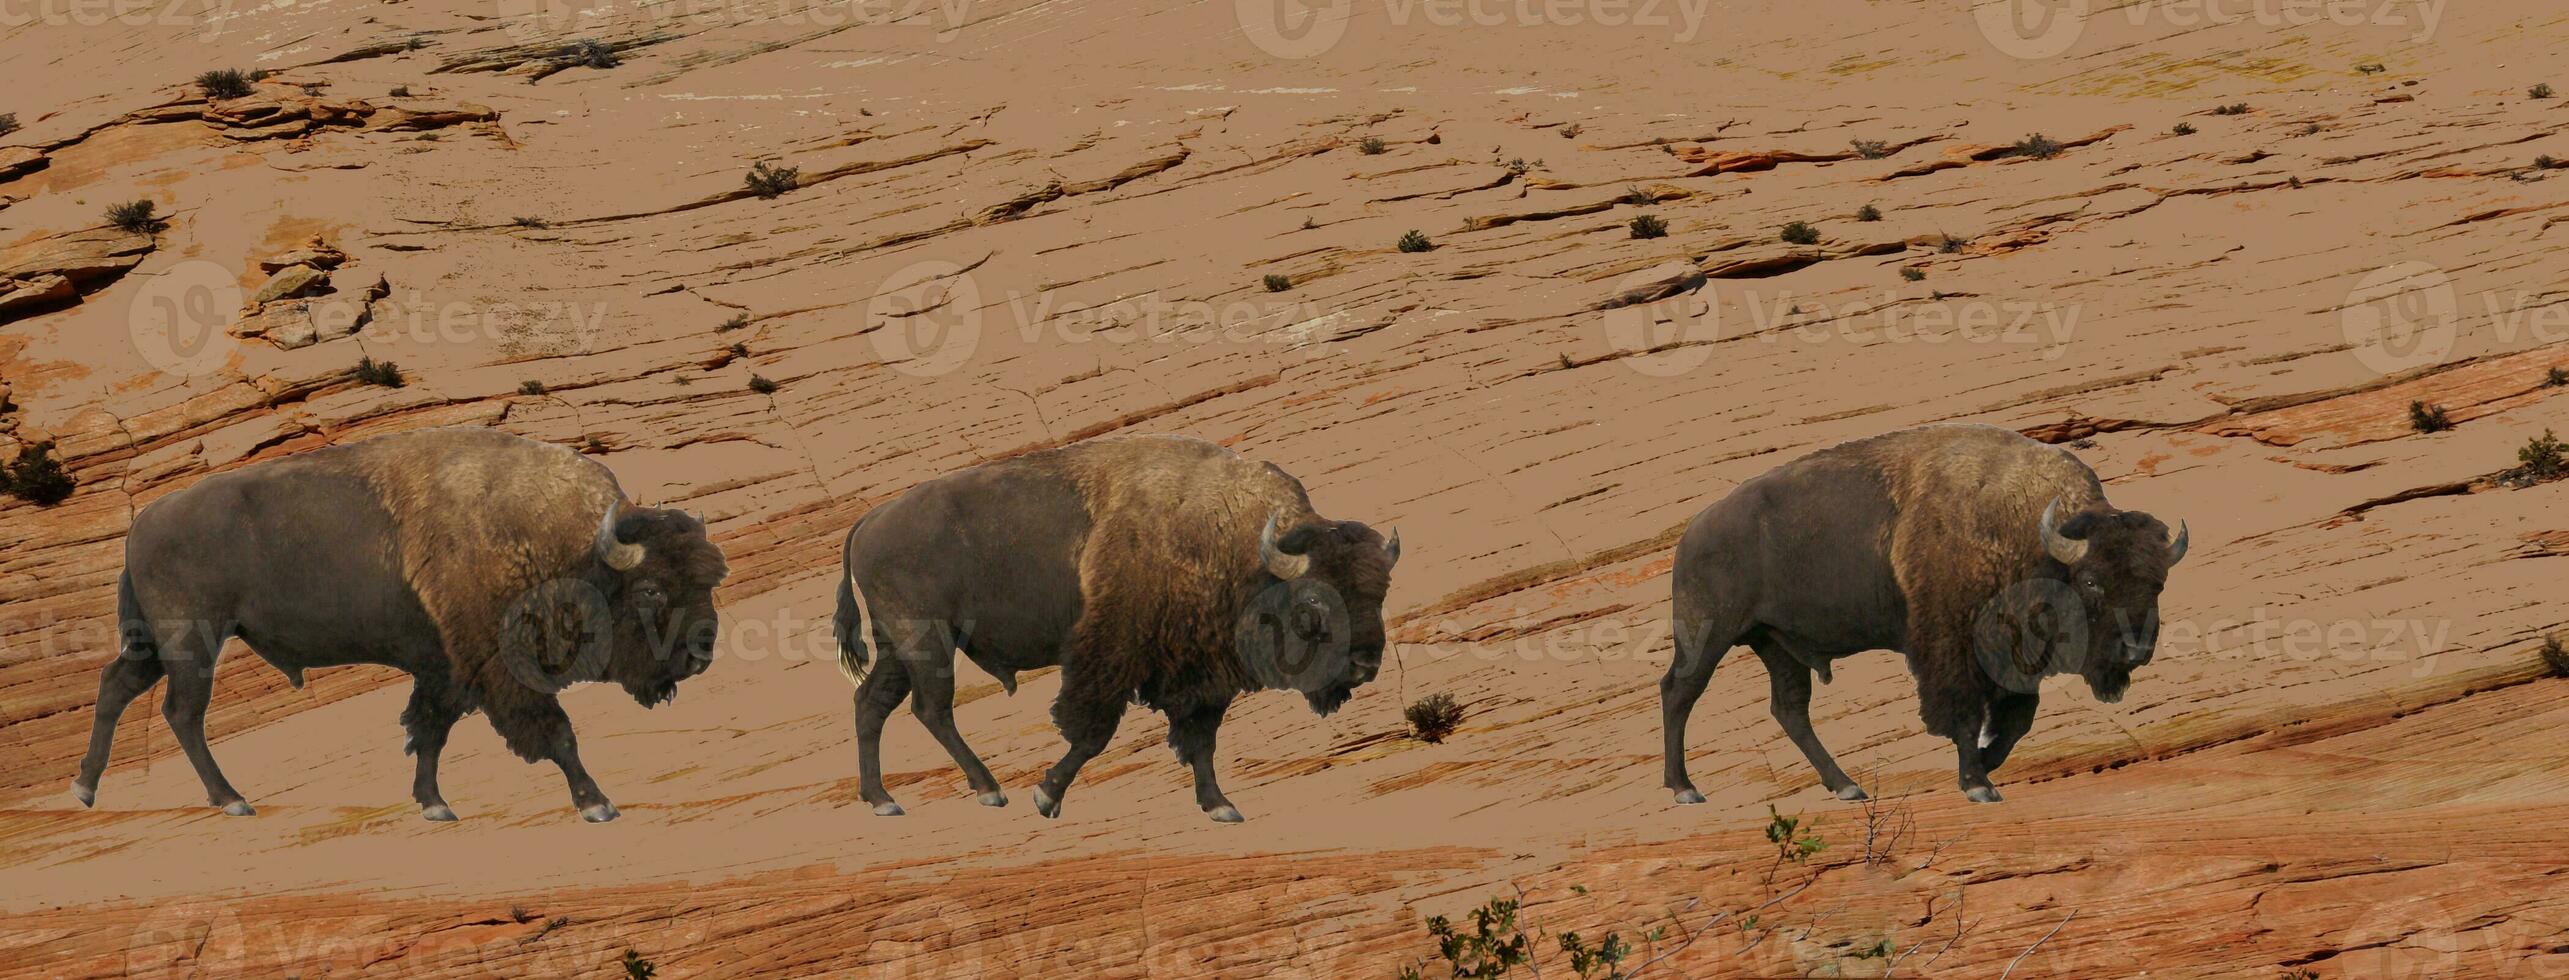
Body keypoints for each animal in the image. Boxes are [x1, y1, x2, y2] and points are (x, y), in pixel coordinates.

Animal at [70, 426, 729, 817]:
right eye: (650, 588)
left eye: (706, 582)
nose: (700, 653)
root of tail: (143, 520)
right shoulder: (501, 668)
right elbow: (556, 733)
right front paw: (597, 804)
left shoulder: (445, 667)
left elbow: (429, 732)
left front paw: (434, 804)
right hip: (194, 643)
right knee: (182, 713)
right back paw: (232, 800)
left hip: (153, 646)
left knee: (115, 687)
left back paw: (86, 788)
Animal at [837, 432, 1407, 823]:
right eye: (1313, 602)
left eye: (1380, 592)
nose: (1365, 665)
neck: (1230, 537)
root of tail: (869, 520)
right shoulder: (1110, 658)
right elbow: (1093, 732)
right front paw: (1046, 796)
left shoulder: (1203, 676)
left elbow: (1201, 739)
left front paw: (1219, 805)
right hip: (927, 640)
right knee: (931, 708)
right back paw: (988, 790)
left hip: (898, 647)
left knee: (872, 703)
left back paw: (883, 800)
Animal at [1664, 421, 2188, 802]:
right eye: (2091, 581)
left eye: (2158, 583)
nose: (2136, 650)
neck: (2024, 529)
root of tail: (1693, 531)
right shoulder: (1953, 647)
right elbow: (1965, 713)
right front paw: (1977, 783)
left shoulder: (2016, 659)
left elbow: (2016, 721)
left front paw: (1985, 764)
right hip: (1707, 634)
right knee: (1678, 692)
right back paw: (1685, 789)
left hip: (1778, 645)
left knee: (1789, 710)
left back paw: (1847, 787)